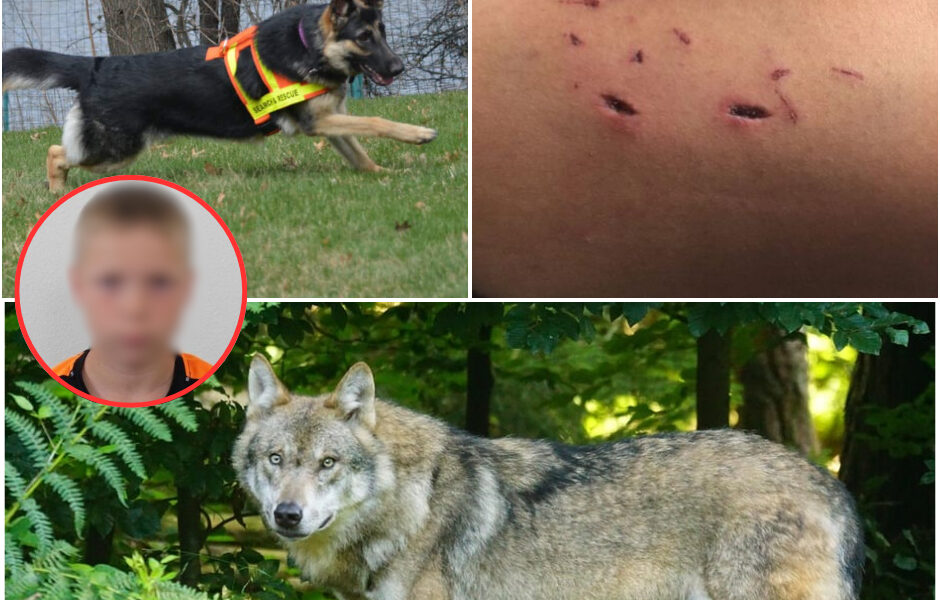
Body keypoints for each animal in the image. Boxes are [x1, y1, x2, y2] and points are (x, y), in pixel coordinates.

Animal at [2, 0, 436, 191]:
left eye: (382, 33)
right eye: (364, 38)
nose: (399, 68)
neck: (309, 45)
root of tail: (96, 65)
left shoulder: (330, 121)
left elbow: (360, 154)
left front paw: (383, 174)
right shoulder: (319, 122)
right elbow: (376, 122)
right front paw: (417, 134)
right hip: (114, 149)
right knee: (55, 152)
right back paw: (55, 190)